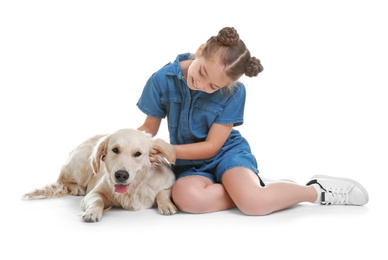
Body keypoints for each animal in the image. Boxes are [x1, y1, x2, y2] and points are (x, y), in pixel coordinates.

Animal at [22, 128, 177, 221]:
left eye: (138, 154)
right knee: (62, 179)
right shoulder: (94, 193)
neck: (135, 188)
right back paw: (76, 188)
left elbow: (163, 193)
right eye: (115, 150)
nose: (121, 175)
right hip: (81, 165)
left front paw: (167, 205)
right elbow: (97, 200)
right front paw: (92, 212)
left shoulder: (169, 183)